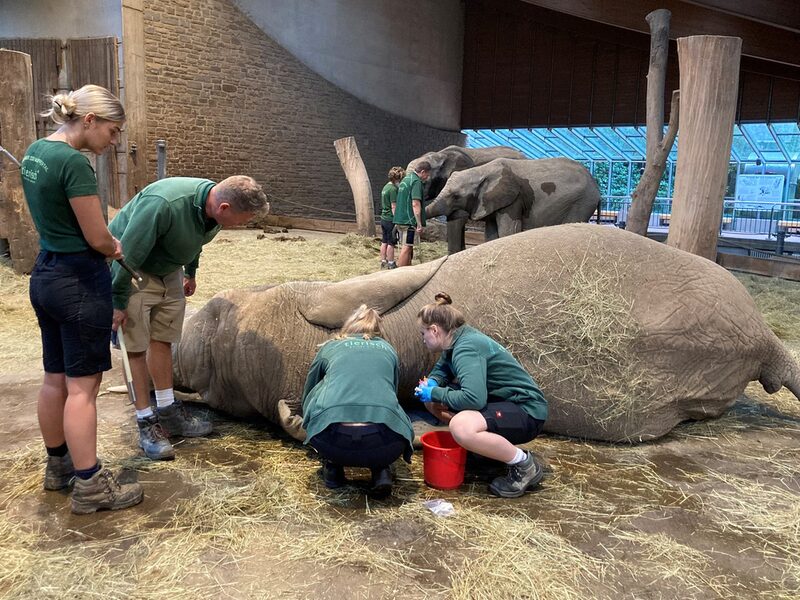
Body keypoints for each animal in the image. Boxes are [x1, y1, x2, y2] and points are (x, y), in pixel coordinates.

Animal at [424, 157, 600, 248]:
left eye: (456, 196)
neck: (481, 170)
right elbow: (492, 235)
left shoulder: (513, 200)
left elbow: (508, 232)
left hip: (582, 202)